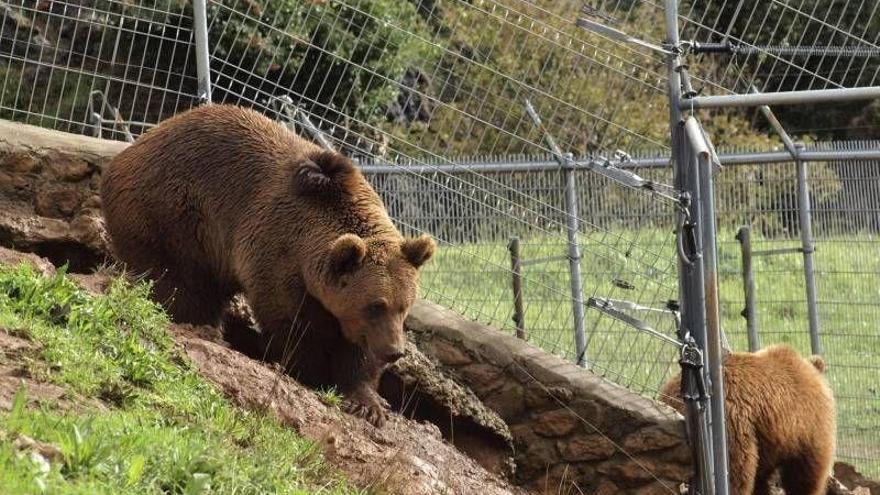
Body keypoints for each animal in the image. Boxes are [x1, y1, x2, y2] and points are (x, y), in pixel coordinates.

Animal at [102, 103, 436, 426]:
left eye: (405, 307)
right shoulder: (278, 254)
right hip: (172, 214)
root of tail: (131, 148)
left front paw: (368, 403)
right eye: (375, 305)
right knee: (180, 281)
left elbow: (357, 350)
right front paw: (311, 372)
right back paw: (203, 326)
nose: (395, 351)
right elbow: (295, 326)